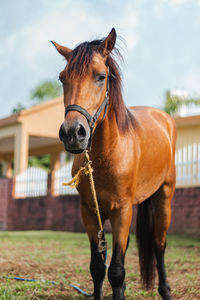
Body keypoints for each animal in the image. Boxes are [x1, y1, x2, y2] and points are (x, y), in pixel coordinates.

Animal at [52, 28, 177, 300]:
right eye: (62, 78)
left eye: (101, 77)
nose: (73, 133)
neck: (106, 155)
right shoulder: (90, 212)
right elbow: (98, 269)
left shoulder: (122, 211)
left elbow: (117, 272)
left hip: (164, 197)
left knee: (159, 244)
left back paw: (165, 290)